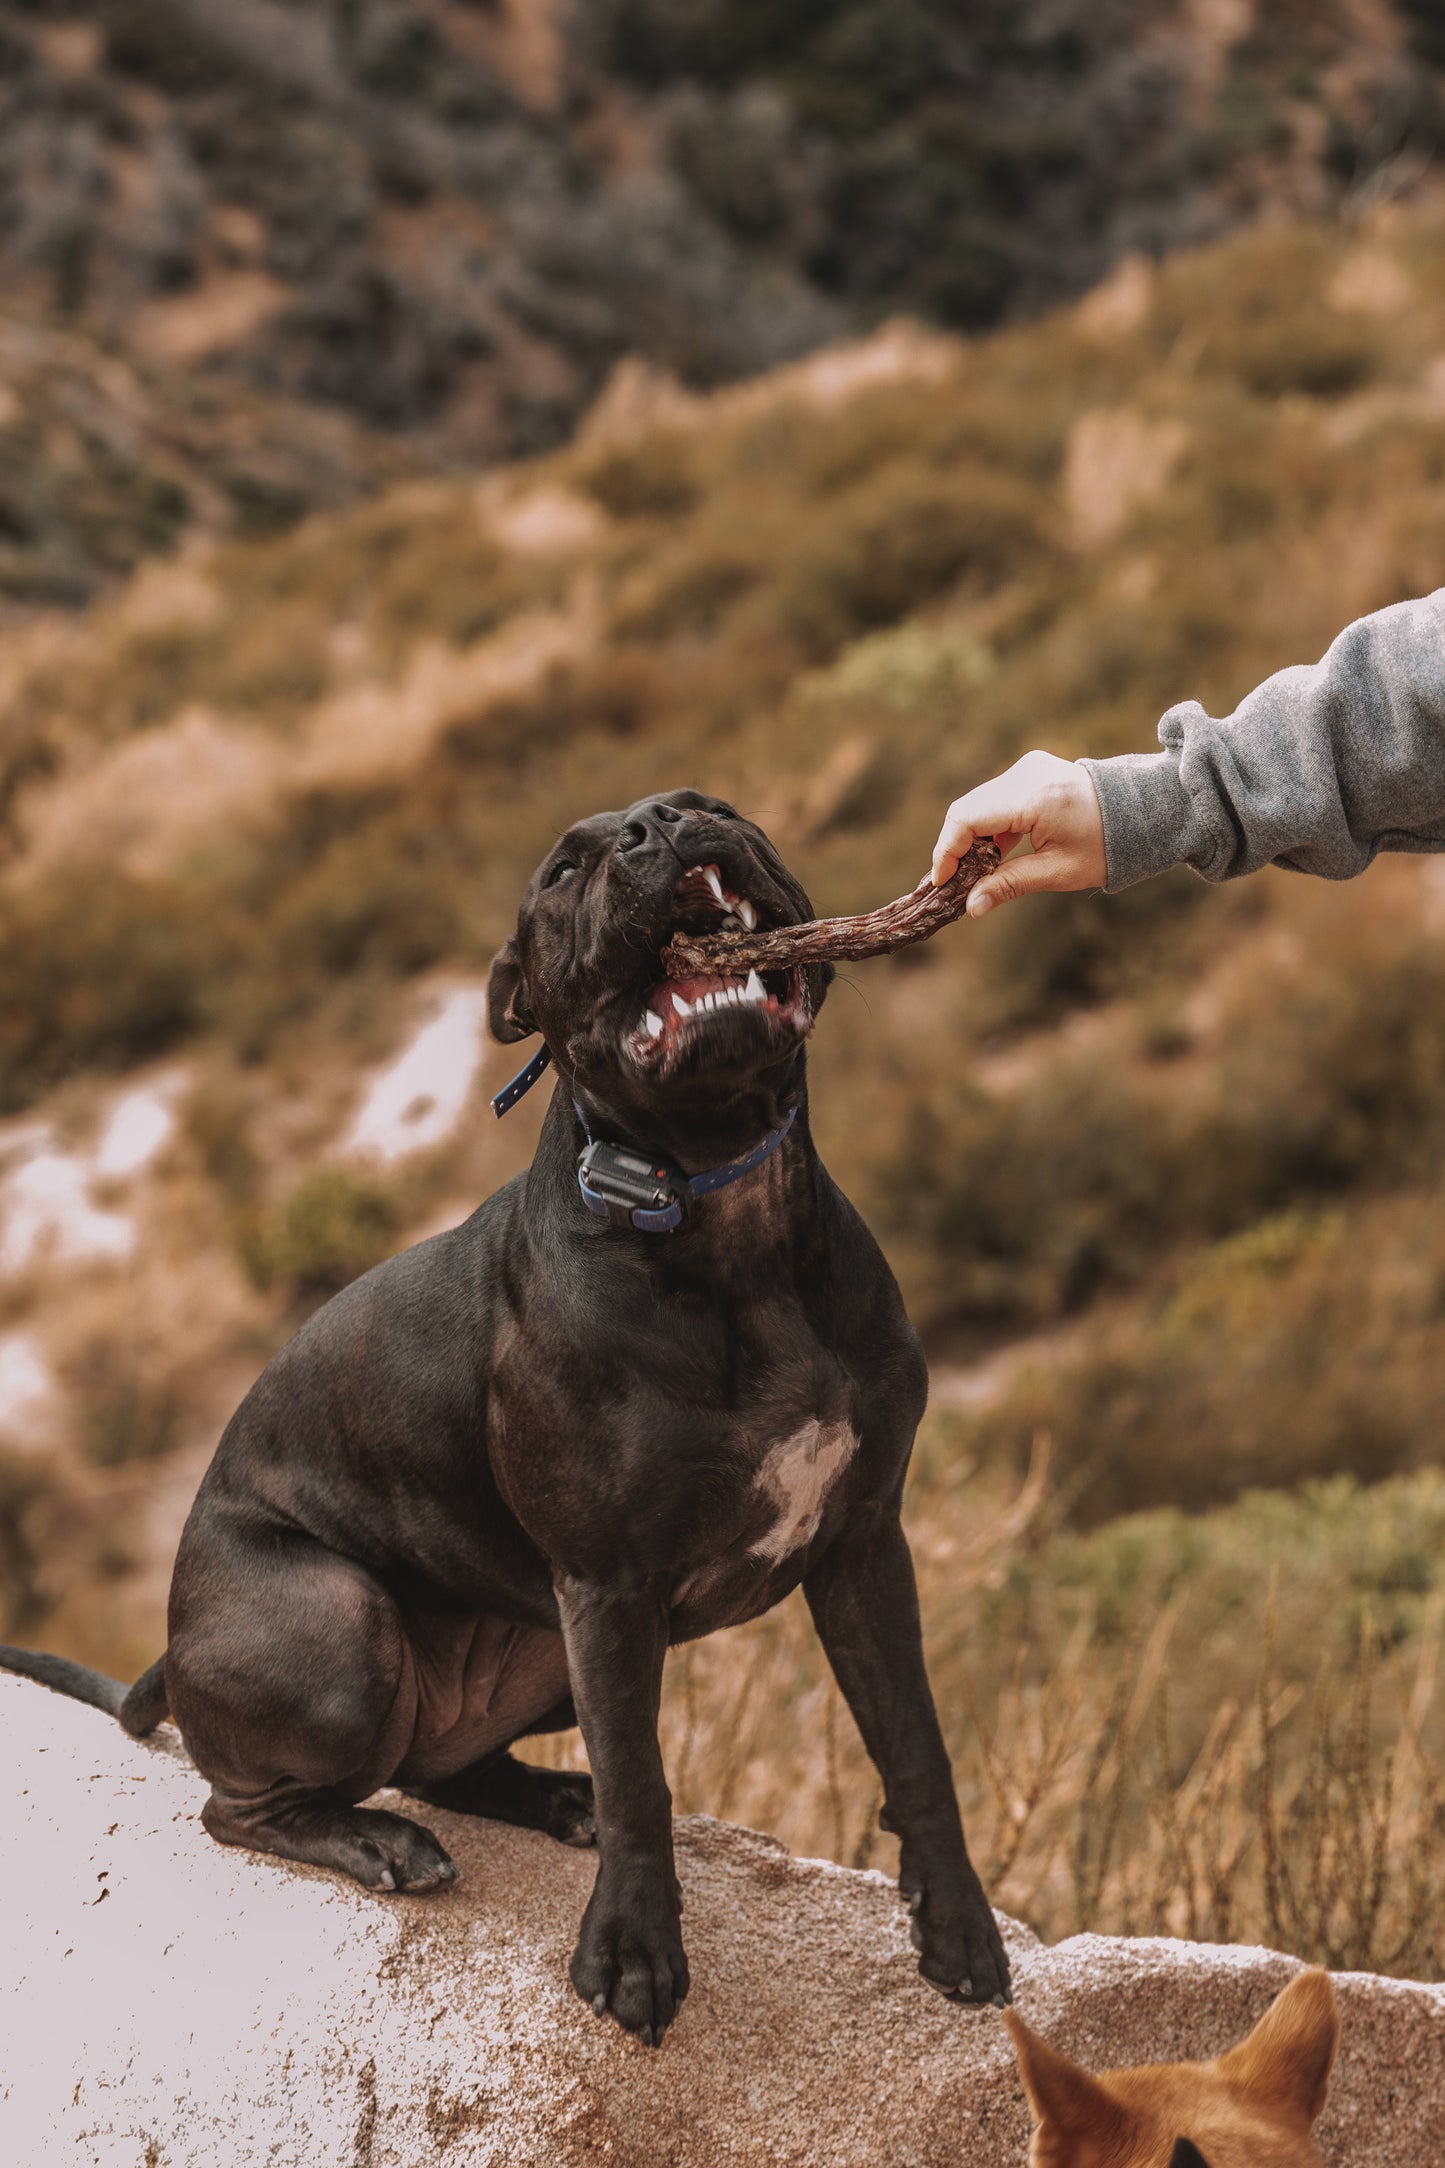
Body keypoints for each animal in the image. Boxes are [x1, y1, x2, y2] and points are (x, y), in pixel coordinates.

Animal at [5, 793, 1013, 2029]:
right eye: (563, 871)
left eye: (711, 805)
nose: (652, 826)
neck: (725, 1213)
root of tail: (171, 1648)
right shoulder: (609, 1582)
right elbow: (642, 1779)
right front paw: (633, 1950)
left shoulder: (862, 1542)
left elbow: (913, 1744)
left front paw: (954, 1925)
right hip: (343, 1627)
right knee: (237, 1803)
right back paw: (375, 1839)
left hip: (537, 1650)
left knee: (440, 1763)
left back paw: (543, 1796)